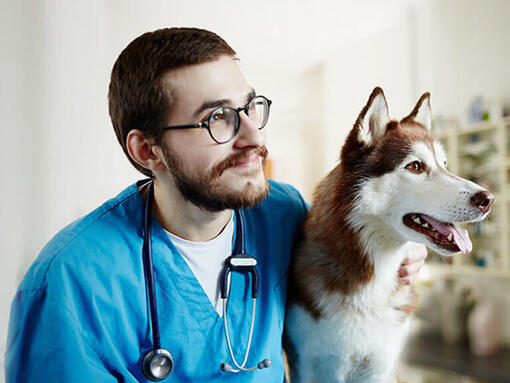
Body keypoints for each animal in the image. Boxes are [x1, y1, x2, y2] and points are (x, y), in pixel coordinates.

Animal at [282, 88, 494, 383]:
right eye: (415, 166)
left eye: (444, 164)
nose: (488, 199)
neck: (375, 272)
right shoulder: (311, 365)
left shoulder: (380, 366)